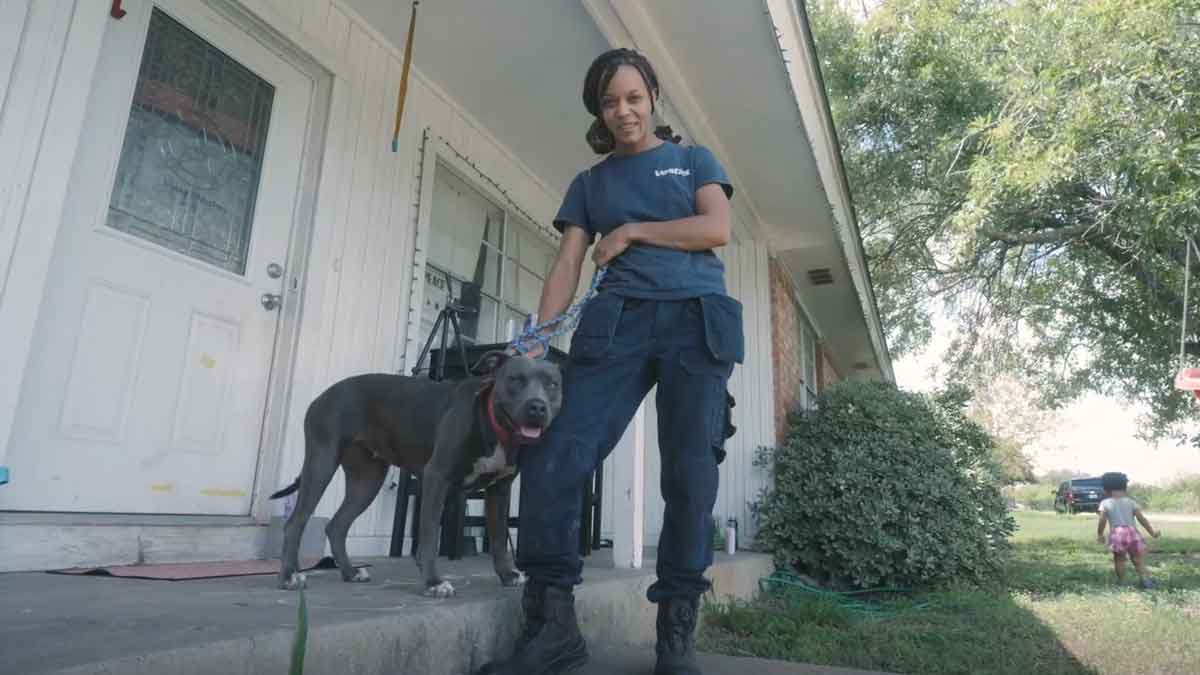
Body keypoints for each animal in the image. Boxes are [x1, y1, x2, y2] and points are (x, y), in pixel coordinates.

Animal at [270, 353, 559, 593]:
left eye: (553, 385)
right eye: (515, 380)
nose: (537, 407)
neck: (492, 423)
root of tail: (323, 395)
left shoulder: (499, 490)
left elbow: (499, 538)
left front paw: (508, 574)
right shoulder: (436, 477)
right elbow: (430, 535)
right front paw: (433, 581)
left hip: (366, 481)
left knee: (337, 526)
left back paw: (351, 572)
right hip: (321, 463)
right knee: (296, 522)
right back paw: (289, 576)